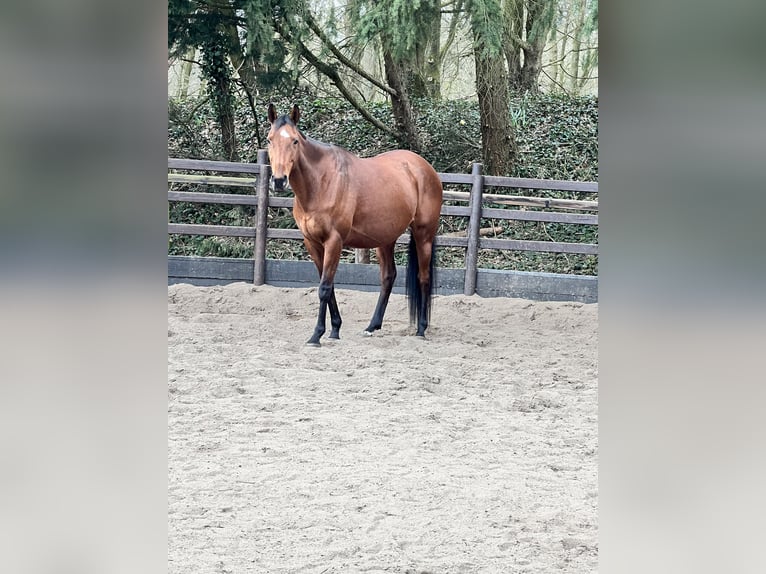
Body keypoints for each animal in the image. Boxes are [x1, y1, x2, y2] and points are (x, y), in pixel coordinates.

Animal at [268, 103, 444, 346]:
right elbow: (328, 286)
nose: (278, 181)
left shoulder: (334, 241)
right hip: (385, 239)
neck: (321, 183)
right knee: (388, 277)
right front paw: (334, 329)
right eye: (269, 140)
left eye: (294, 141)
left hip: (423, 235)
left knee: (423, 277)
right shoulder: (312, 243)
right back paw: (372, 326)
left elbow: (324, 288)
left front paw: (316, 335)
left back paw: (421, 329)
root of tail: (424, 167)